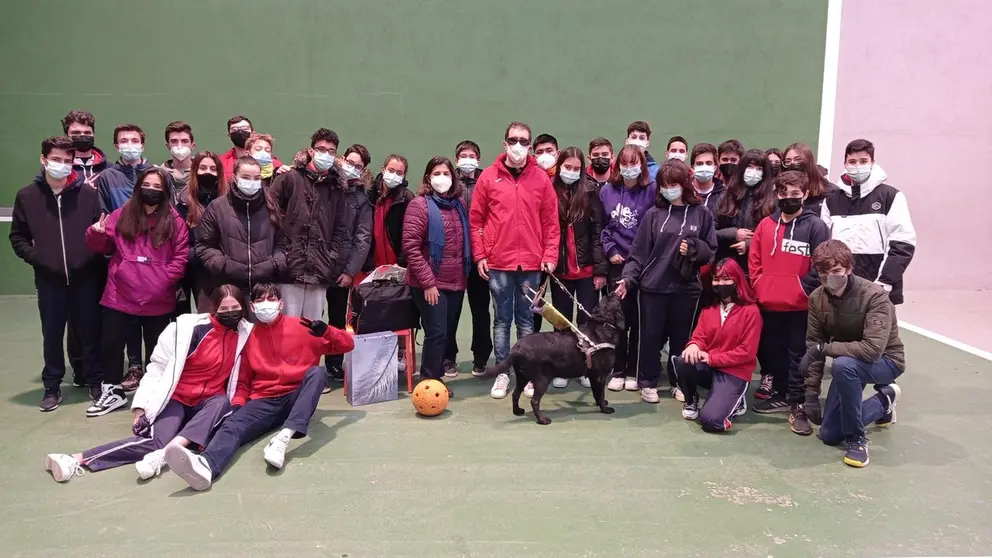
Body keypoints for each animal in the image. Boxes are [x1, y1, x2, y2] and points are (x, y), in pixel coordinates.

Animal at [486, 298, 620, 424]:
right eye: (614, 298)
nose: (615, 292)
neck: (603, 327)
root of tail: (516, 348)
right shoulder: (601, 375)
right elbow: (601, 393)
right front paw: (605, 409)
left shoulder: (594, 376)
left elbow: (596, 393)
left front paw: (601, 404)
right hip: (542, 380)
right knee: (534, 401)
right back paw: (542, 420)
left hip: (522, 376)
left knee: (515, 394)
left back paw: (518, 411)